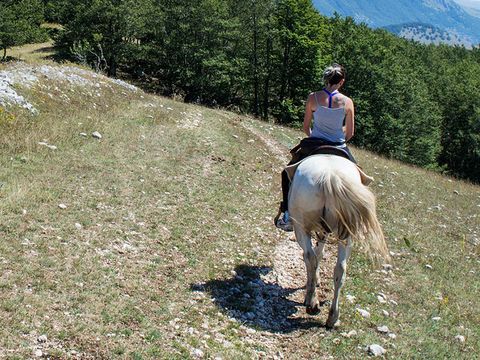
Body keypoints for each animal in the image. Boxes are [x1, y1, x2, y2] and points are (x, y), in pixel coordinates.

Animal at [286, 153, 388, 328]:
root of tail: (330, 176)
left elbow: (313, 256)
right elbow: (321, 253)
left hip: (301, 227)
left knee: (310, 257)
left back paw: (312, 303)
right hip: (346, 234)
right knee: (340, 269)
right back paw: (332, 317)